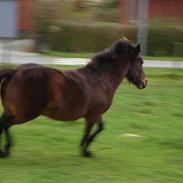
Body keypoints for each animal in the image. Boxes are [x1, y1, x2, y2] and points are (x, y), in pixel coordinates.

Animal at [0, 39, 147, 158]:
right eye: (140, 61)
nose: (145, 82)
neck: (101, 80)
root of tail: (15, 72)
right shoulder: (93, 114)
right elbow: (89, 130)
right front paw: (85, 150)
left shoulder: (94, 113)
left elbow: (100, 127)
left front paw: (84, 146)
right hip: (25, 114)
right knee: (5, 124)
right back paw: (6, 150)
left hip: (11, 110)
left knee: (3, 123)